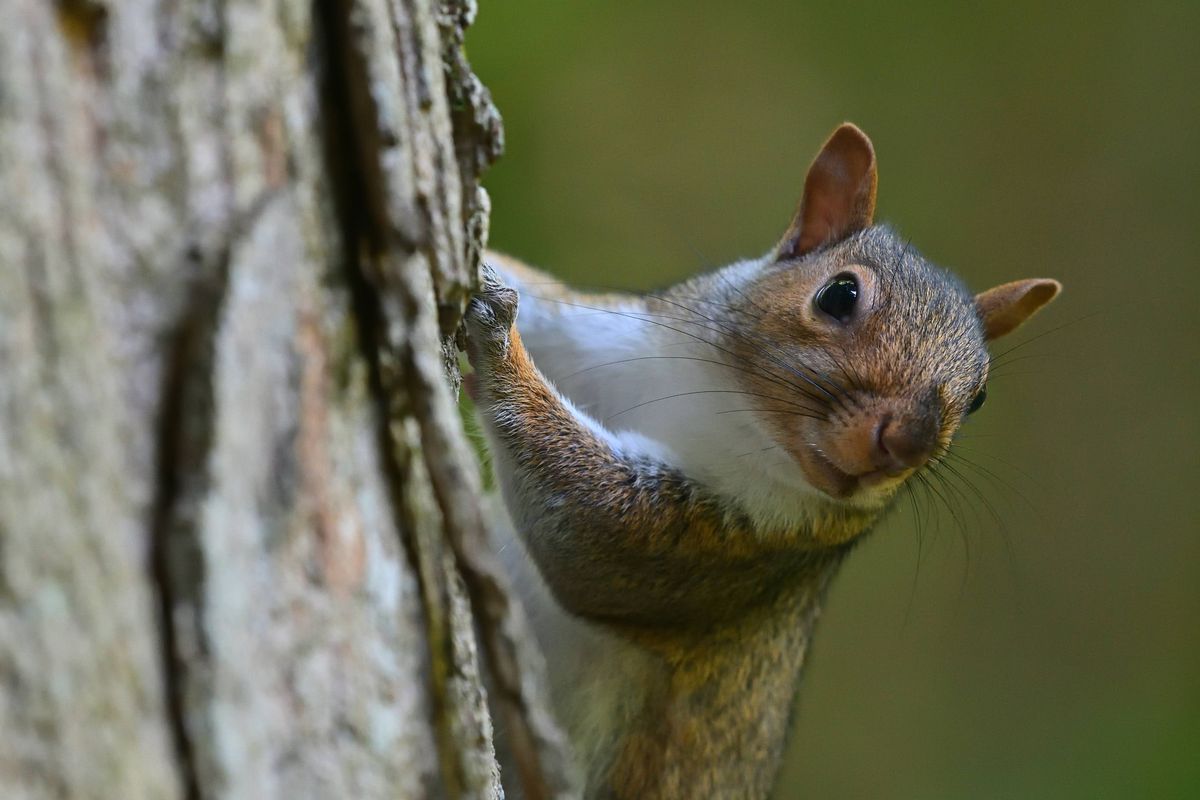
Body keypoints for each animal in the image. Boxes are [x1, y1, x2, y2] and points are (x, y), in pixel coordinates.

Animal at [464, 123, 1061, 799]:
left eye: (978, 396)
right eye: (839, 294)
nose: (907, 442)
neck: (729, 409)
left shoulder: (738, 545)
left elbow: (592, 532)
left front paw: (499, 353)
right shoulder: (601, 335)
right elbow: (542, 300)